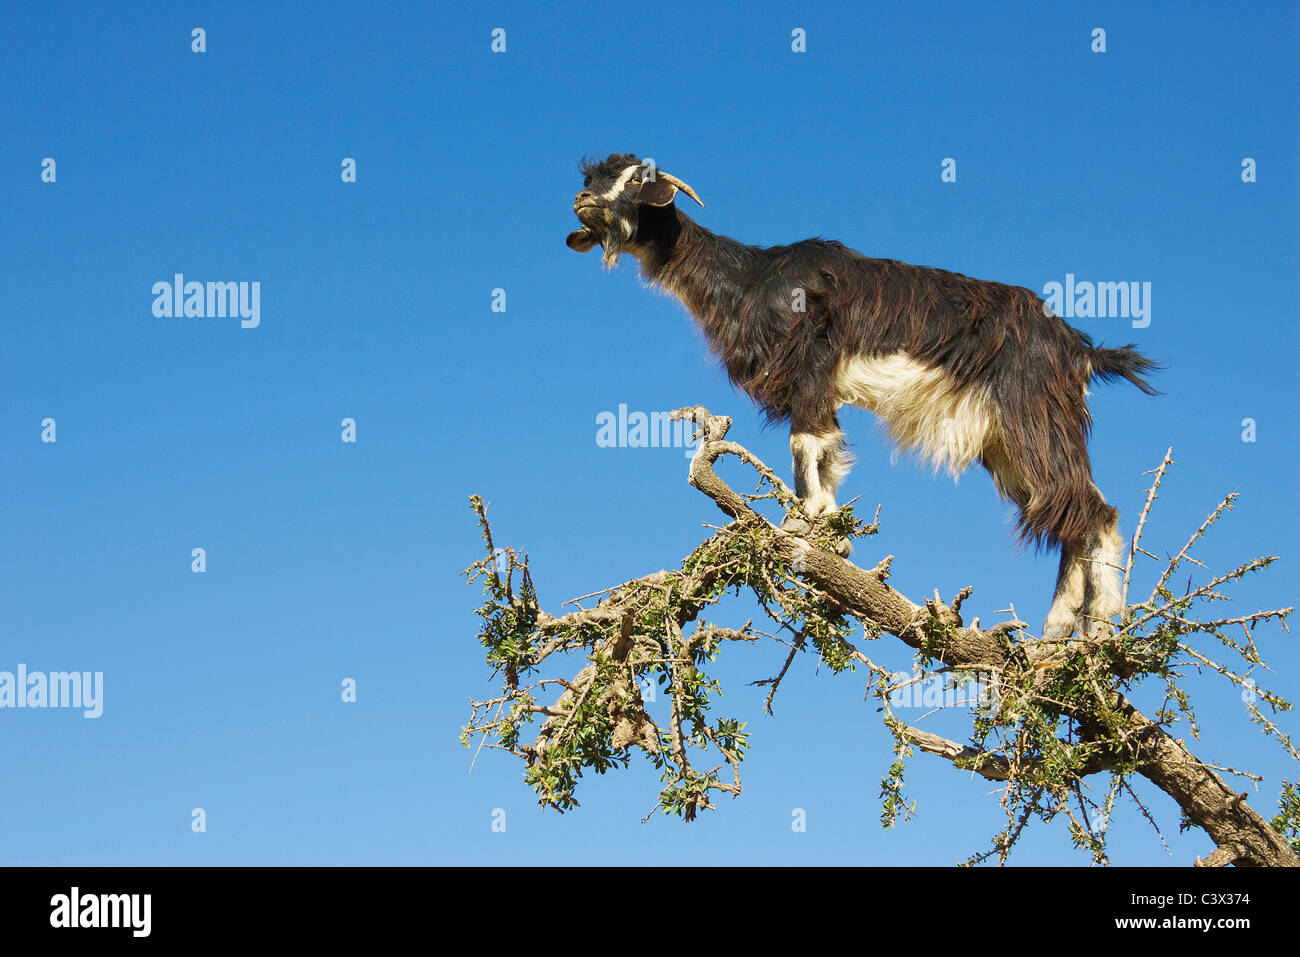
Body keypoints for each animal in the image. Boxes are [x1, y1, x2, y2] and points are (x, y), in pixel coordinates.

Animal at [566, 153, 1159, 639]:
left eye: (637, 178)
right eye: (592, 178)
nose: (582, 203)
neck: (751, 279)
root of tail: (1079, 350)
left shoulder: (810, 364)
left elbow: (806, 444)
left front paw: (809, 525)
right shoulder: (820, 387)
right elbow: (828, 453)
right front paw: (830, 529)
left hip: (1032, 414)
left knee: (1094, 512)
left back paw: (1096, 630)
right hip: (1006, 442)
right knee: (1067, 510)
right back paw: (1060, 632)